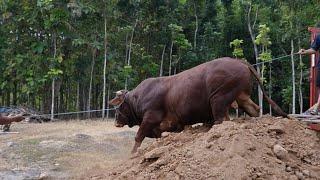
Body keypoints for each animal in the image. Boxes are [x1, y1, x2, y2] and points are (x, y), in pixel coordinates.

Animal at [109, 57, 286, 153]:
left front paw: (133, 153)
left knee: (222, 120)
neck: (138, 97)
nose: (116, 121)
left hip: (218, 99)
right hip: (241, 97)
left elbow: (138, 136)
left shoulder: (151, 117)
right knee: (254, 109)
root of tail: (239, 61)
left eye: (119, 106)